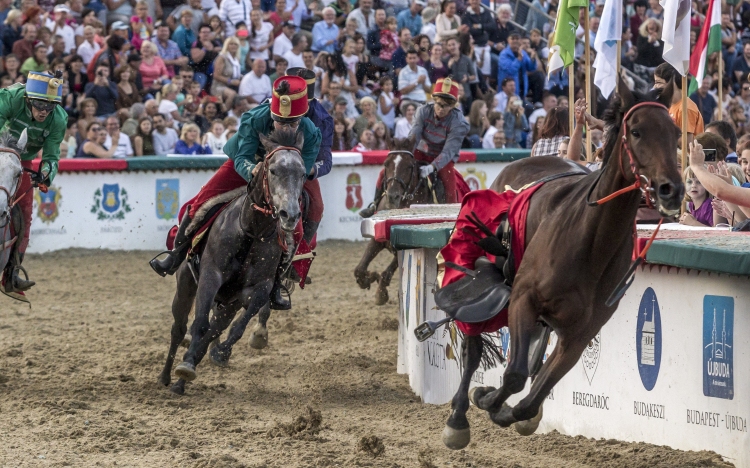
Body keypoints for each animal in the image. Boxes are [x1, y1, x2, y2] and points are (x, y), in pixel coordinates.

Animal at [159, 128, 308, 394]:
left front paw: (209, 356)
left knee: (214, 328)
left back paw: (184, 375)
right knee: (179, 328)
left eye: (303, 173)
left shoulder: (258, 289)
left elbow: (234, 328)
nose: (289, 214)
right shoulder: (210, 276)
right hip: (185, 282)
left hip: (229, 302)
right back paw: (167, 376)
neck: (250, 232)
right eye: (273, 170)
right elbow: (200, 324)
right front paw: (185, 366)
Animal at [356, 135, 438, 306]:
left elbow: (386, 273)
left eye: (409, 166)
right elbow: (359, 269)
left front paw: (380, 293)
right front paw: (368, 278)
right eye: (386, 164)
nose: (393, 196)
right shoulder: (376, 239)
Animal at [440, 82, 688, 448]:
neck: (590, 242)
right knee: (473, 344)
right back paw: (457, 417)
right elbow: (514, 376)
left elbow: (531, 399)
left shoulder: (580, 333)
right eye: (637, 131)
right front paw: (484, 397)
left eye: (674, 132)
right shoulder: (523, 298)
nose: (672, 190)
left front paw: (504, 408)